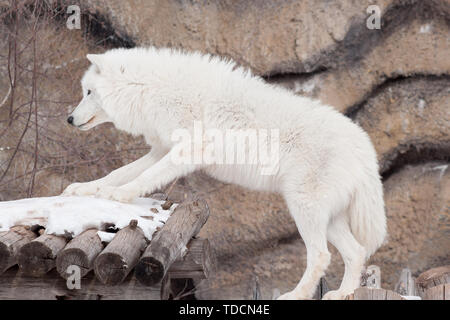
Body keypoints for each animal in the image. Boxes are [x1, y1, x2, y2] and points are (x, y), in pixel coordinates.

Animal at [62, 47, 386, 300]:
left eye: (88, 92)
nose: (69, 119)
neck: (152, 90)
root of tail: (365, 147)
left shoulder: (184, 152)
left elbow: (142, 178)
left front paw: (117, 194)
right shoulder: (161, 149)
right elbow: (119, 172)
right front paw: (86, 189)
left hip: (304, 210)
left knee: (321, 256)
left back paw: (296, 294)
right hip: (327, 218)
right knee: (356, 252)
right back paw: (343, 293)